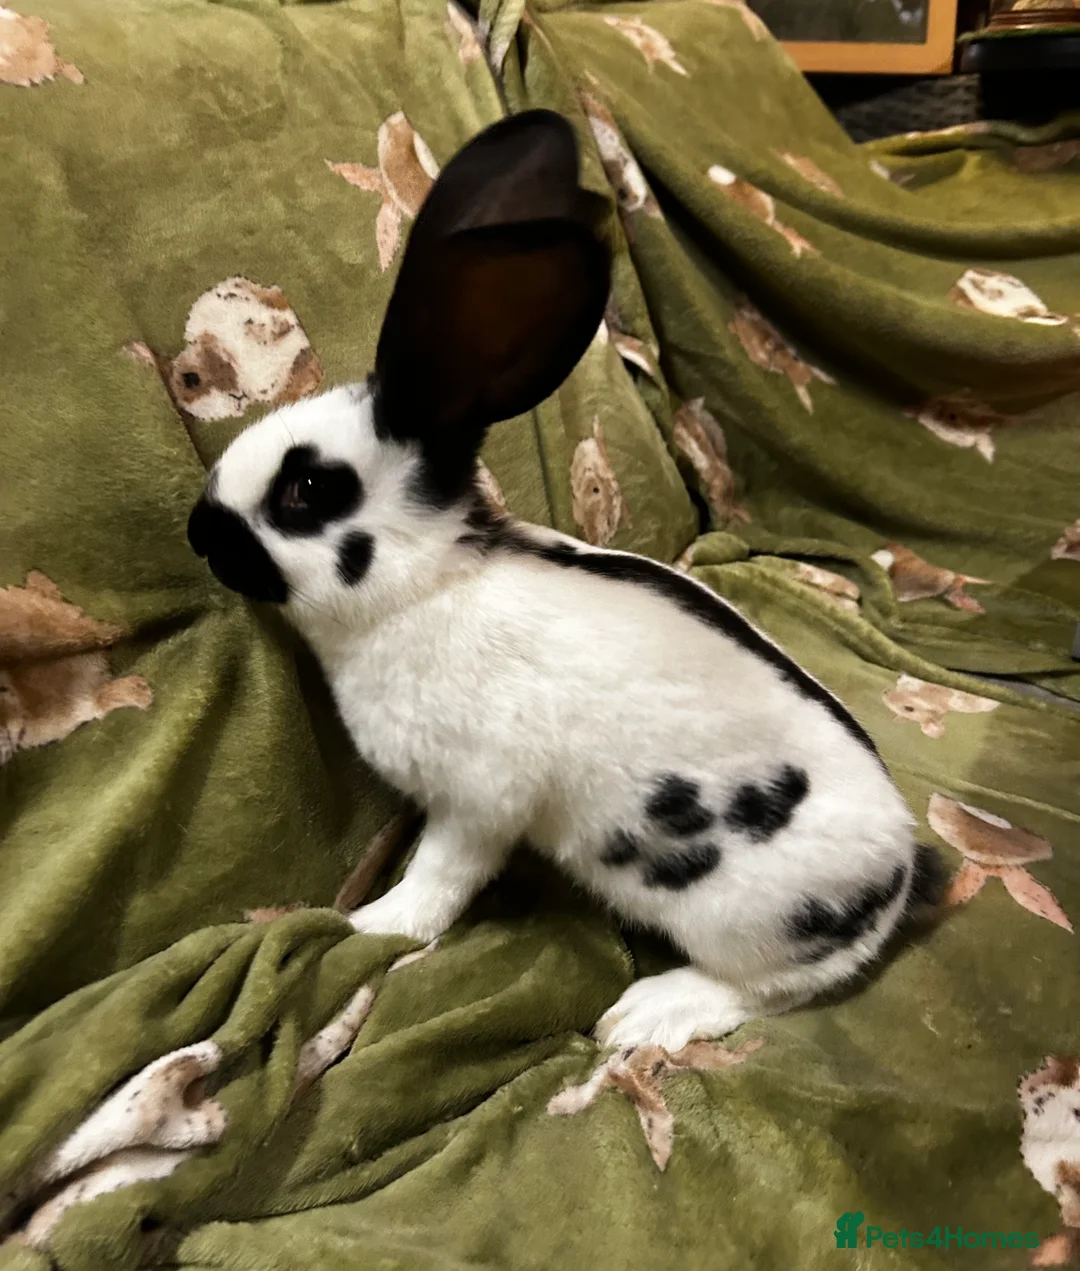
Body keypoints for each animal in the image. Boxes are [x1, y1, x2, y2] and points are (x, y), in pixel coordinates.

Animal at [187, 110, 921, 1051]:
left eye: (308, 489)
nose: (199, 533)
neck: (431, 581)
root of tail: (899, 874)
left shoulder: (477, 799)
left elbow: (440, 880)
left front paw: (371, 924)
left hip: (737, 913)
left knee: (779, 985)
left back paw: (647, 1014)